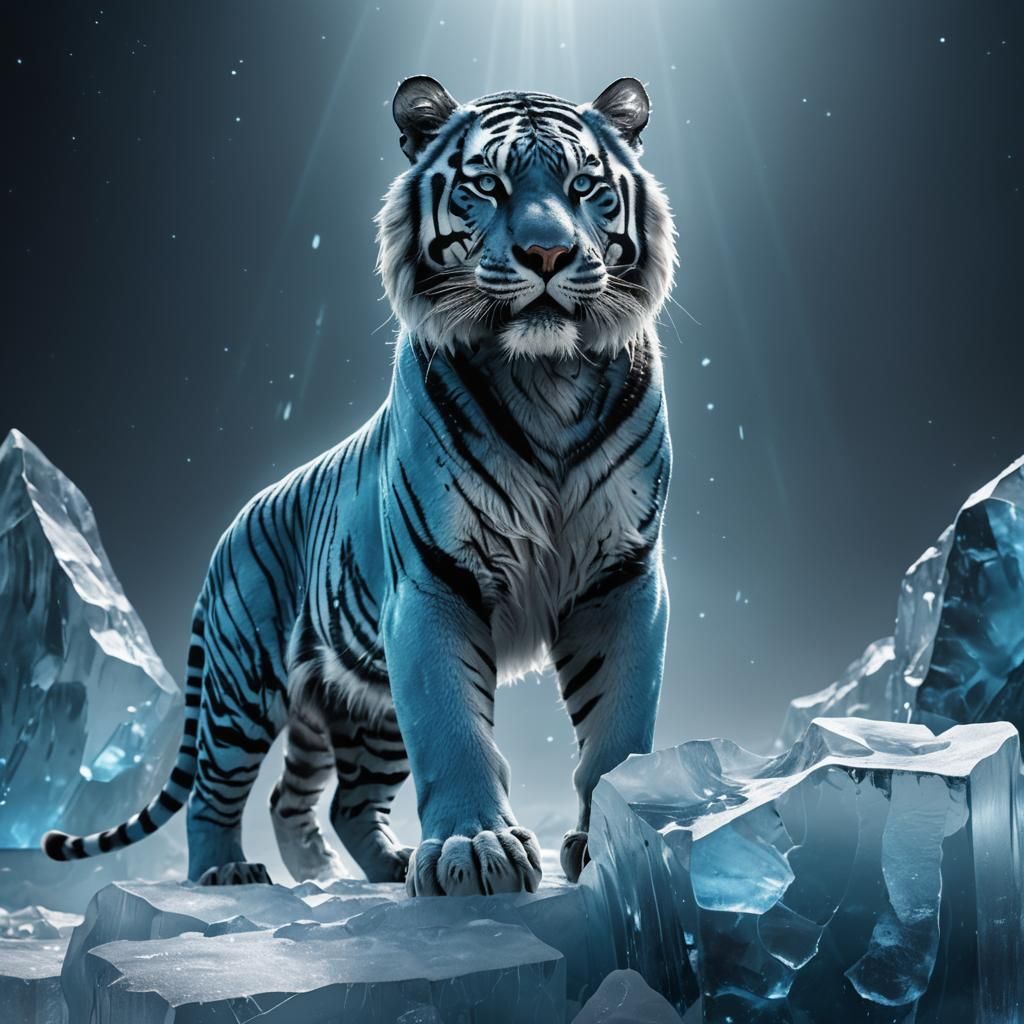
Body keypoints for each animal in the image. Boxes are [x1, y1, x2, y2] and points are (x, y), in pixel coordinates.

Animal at [43, 75, 675, 896]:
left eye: (585, 187)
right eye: (487, 185)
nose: (547, 251)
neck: (548, 375)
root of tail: (229, 529)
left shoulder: (621, 577)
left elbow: (619, 729)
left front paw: (611, 845)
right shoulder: (434, 582)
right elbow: (453, 729)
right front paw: (477, 850)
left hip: (362, 708)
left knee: (318, 799)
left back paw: (357, 873)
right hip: (243, 685)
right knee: (217, 791)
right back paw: (226, 873)